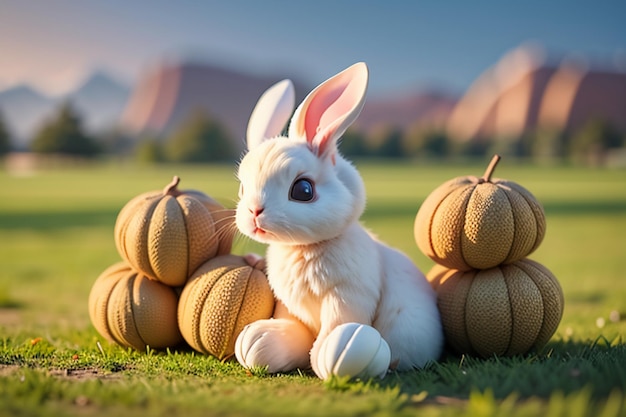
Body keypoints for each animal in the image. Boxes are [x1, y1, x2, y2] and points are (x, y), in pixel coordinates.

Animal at [232, 61, 442, 376]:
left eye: (303, 190)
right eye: (243, 189)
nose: (254, 212)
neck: (302, 248)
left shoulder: (347, 295)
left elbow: (336, 323)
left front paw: (329, 352)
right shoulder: (289, 305)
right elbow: (292, 327)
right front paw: (262, 339)